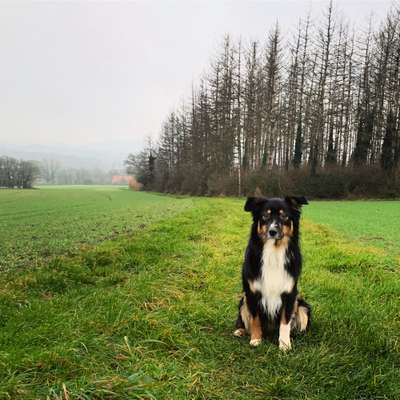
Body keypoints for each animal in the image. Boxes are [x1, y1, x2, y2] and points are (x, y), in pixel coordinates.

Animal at [234, 196, 312, 350]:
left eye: (284, 215)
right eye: (265, 215)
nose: (272, 231)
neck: (274, 252)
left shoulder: (289, 294)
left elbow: (285, 322)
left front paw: (284, 344)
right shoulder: (252, 293)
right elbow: (255, 319)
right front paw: (256, 339)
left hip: (301, 305)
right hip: (244, 300)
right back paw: (240, 330)